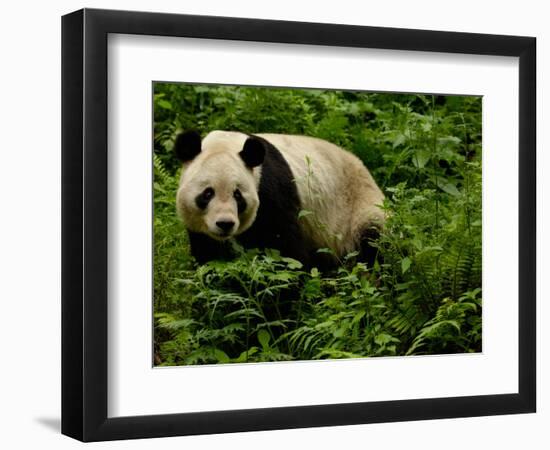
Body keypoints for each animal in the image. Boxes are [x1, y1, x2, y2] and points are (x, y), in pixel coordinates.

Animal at [175, 130, 386, 270]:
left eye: (238, 195)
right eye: (208, 193)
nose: (225, 224)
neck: (225, 143)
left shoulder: (272, 192)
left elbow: (285, 253)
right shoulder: (201, 230)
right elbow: (209, 257)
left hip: (358, 207)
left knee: (373, 241)